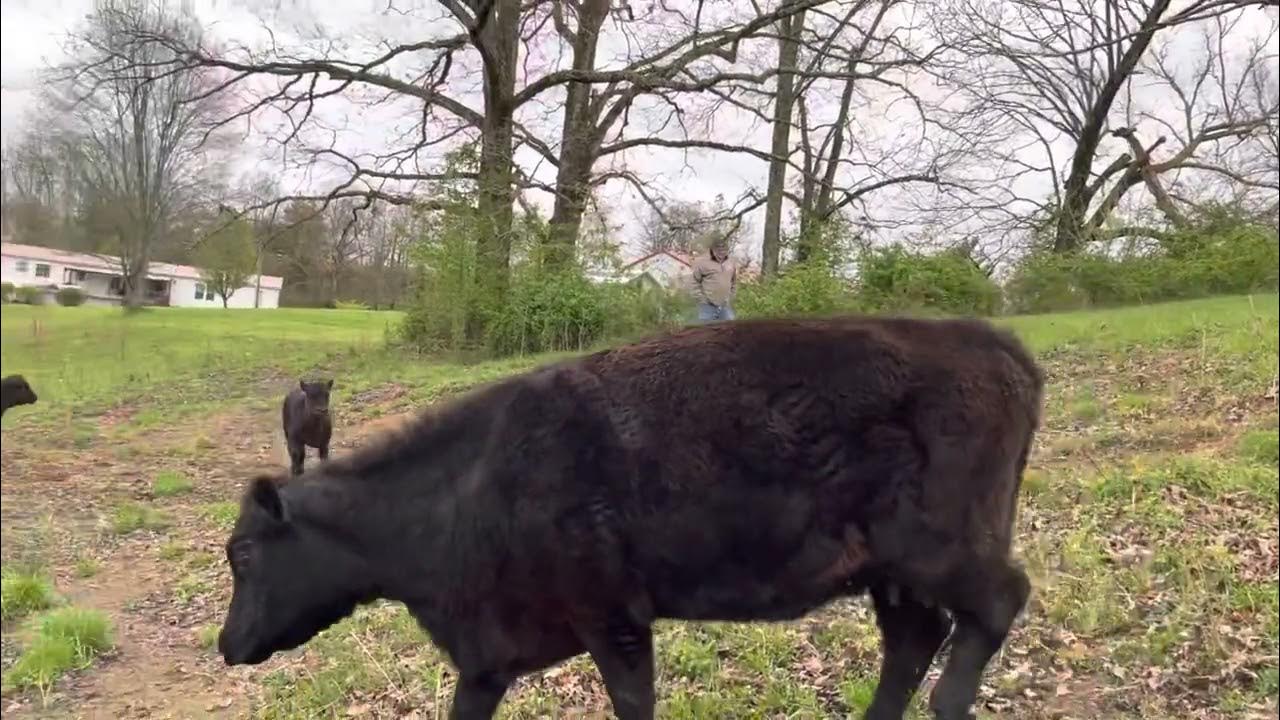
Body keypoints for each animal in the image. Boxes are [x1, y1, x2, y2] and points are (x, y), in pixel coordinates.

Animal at [219, 315, 1044, 720]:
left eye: (242, 554)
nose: (226, 645)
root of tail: (994, 342)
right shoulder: (489, 655)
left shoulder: (613, 617)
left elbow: (632, 704)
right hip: (890, 572)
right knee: (913, 640)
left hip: (944, 547)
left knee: (999, 602)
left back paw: (950, 705)